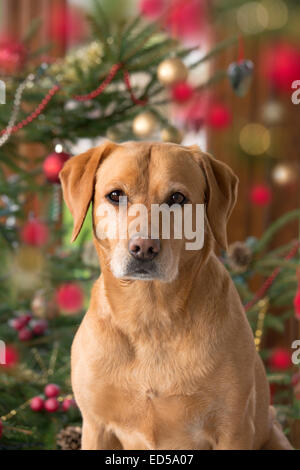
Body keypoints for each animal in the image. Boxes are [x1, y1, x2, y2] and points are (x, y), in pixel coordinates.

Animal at [59, 141, 292, 450]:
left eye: (177, 197)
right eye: (115, 195)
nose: (143, 248)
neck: (151, 319)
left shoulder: (234, 429)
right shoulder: (96, 426)